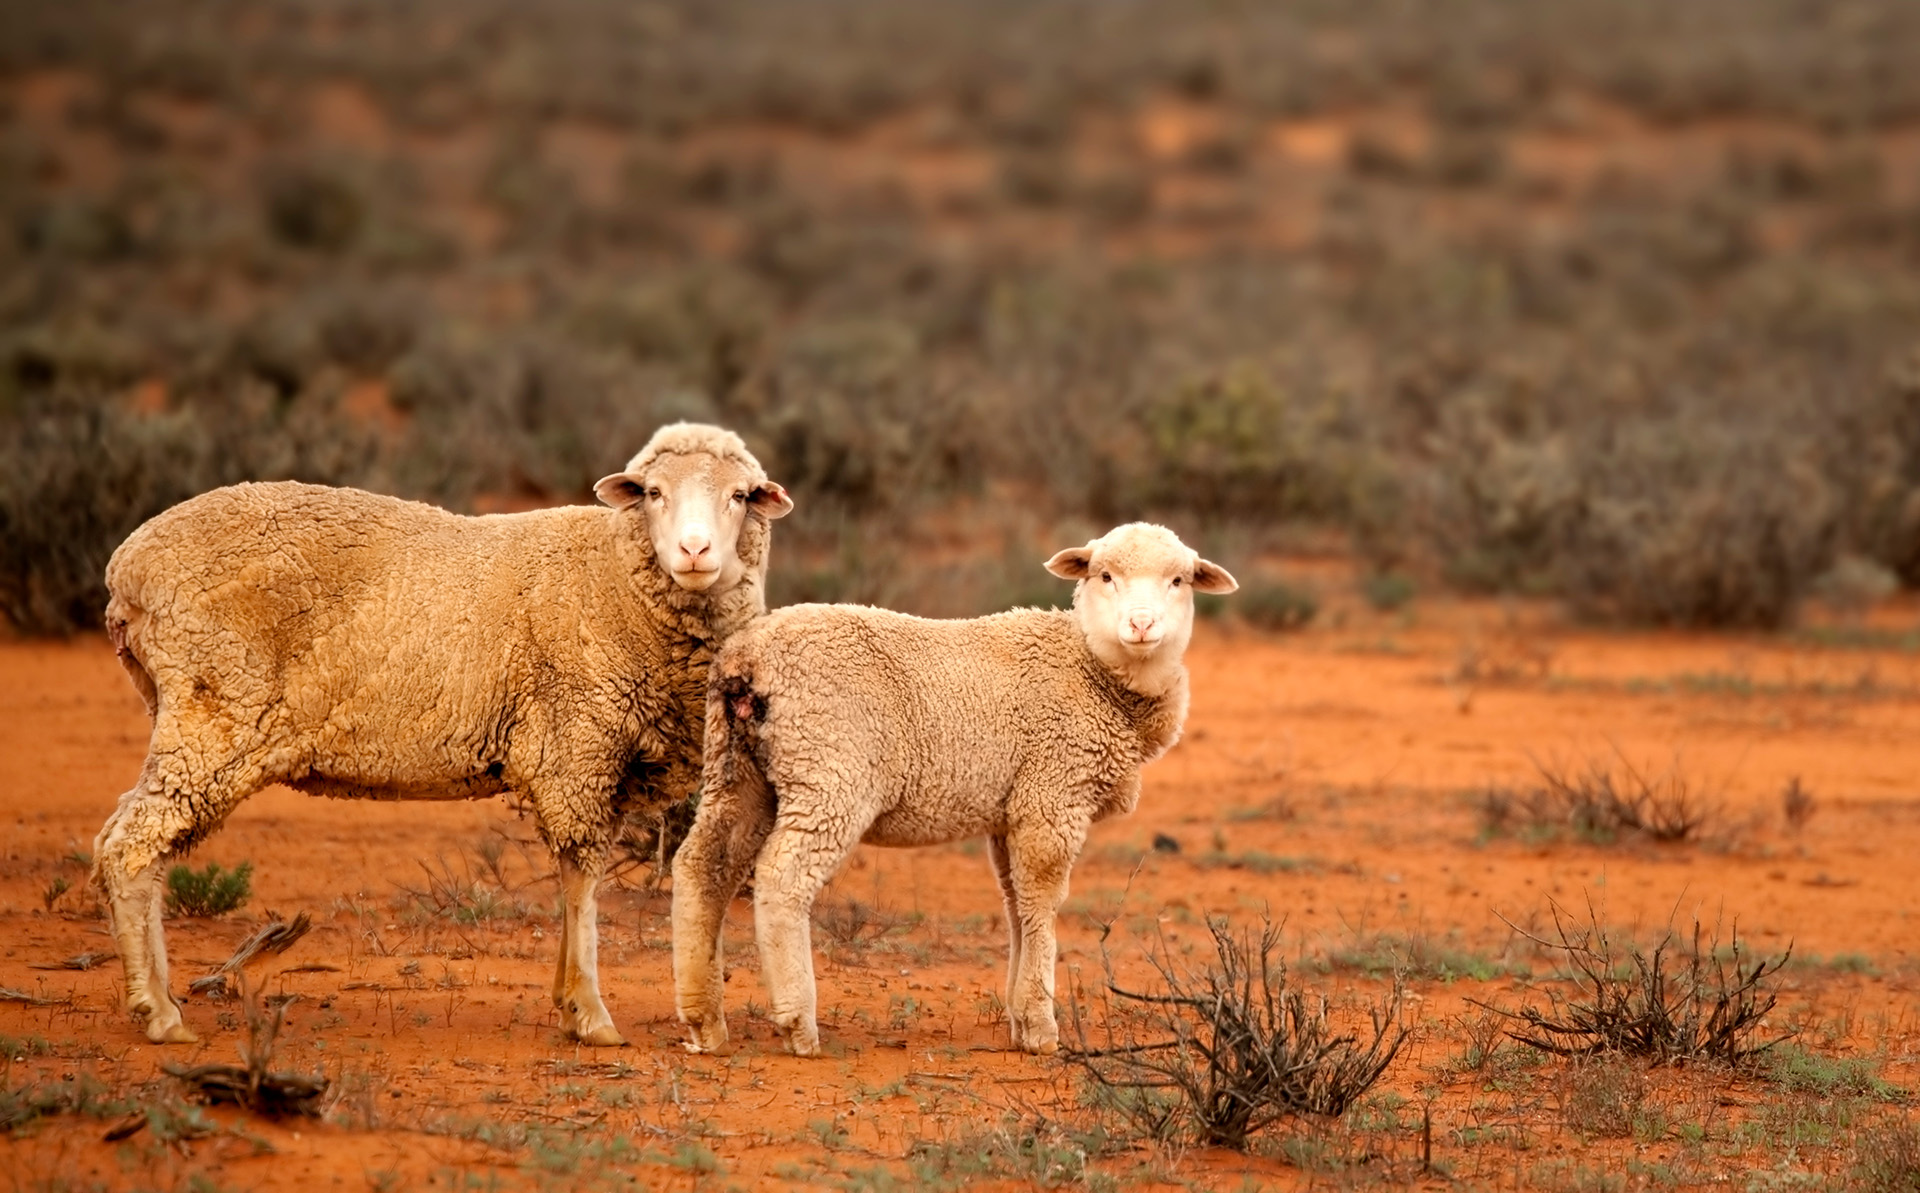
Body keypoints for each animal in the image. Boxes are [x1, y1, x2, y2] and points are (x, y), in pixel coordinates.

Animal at [88, 418, 794, 1045]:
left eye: (739, 496)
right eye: (653, 493)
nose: (695, 552)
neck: (613, 578)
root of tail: (126, 569)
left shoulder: (608, 765)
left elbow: (575, 883)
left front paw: (566, 999)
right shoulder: (577, 744)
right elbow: (582, 880)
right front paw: (590, 1015)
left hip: (185, 717)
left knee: (129, 845)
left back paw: (158, 996)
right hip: (214, 716)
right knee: (131, 849)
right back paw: (159, 1013)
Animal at [672, 522, 1244, 1052]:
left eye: (1179, 580)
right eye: (1104, 575)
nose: (1141, 624)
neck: (1094, 673)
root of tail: (747, 657)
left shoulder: (1012, 812)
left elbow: (1016, 906)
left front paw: (1018, 1018)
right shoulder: (1051, 796)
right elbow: (1042, 904)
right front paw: (1041, 1026)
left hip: (739, 769)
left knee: (702, 867)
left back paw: (704, 1020)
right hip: (829, 773)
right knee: (781, 879)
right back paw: (797, 1023)